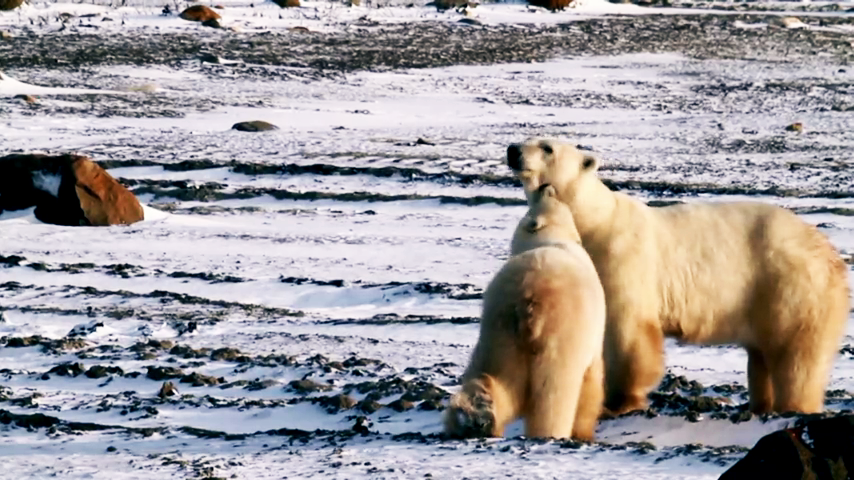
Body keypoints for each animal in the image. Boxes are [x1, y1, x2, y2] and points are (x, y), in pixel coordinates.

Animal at [444, 184, 606, 441]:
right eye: (549, 196)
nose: (545, 186)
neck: (553, 239)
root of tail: (529, 299)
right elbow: (591, 383)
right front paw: (584, 432)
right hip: (560, 337)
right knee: (554, 395)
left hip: (499, 331)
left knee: (497, 377)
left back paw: (473, 417)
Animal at [505, 137, 851, 416]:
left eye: (547, 147)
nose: (513, 150)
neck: (592, 222)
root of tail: (832, 254)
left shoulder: (622, 256)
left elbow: (628, 329)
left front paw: (619, 402)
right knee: (763, 355)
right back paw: (759, 404)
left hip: (791, 285)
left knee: (796, 355)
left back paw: (793, 406)